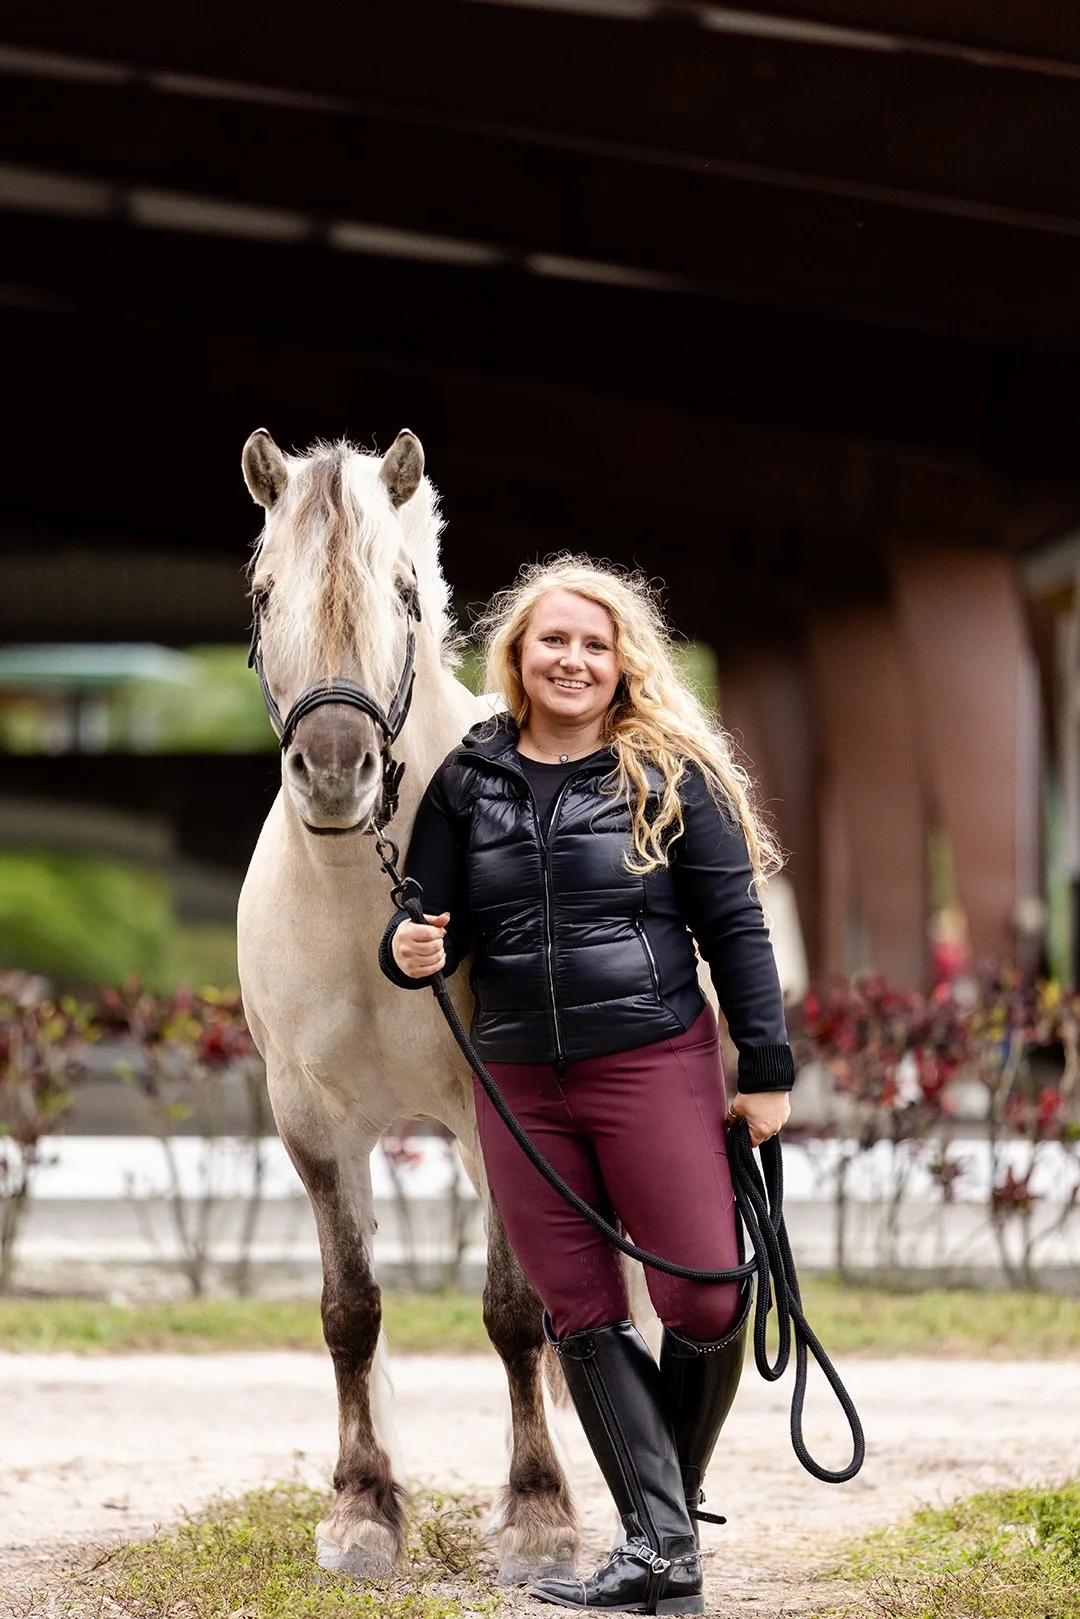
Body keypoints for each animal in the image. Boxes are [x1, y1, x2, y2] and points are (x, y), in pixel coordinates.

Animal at [236, 428, 579, 1584]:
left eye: (404, 594)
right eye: (262, 593)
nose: (336, 768)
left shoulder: (500, 1108)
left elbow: (515, 1311)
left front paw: (539, 1515)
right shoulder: (313, 1123)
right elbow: (351, 1310)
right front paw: (362, 1509)